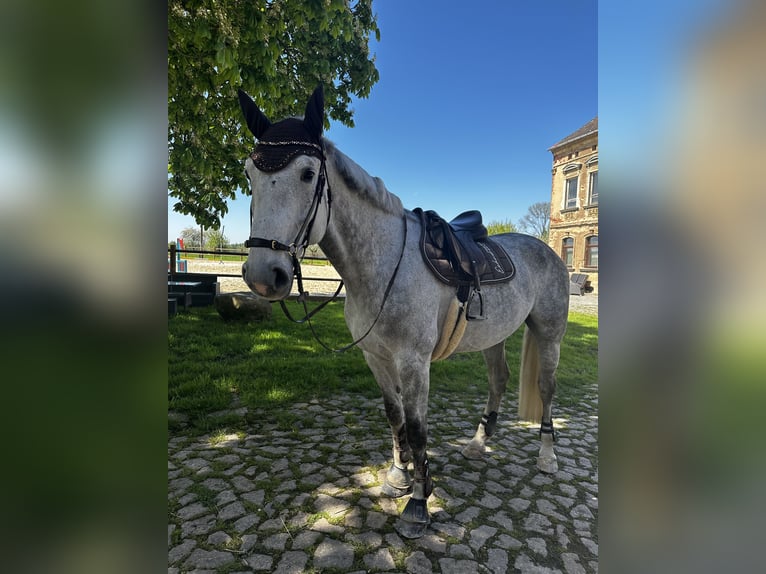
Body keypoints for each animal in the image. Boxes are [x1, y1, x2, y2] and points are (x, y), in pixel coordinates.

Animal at [237, 86, 569, 538]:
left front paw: (418, 504)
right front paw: (398, 477)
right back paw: (478, 444)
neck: (381, 265)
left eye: (307, 174)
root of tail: (545, 250)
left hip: (550, 335)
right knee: (498, 380)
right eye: (249, 175)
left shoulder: (414, 362)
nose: (262, 275)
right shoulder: (375, 357)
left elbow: (416, 428)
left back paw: (547, 457)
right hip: (494, 337)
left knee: (547, 390)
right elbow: (393, 415)